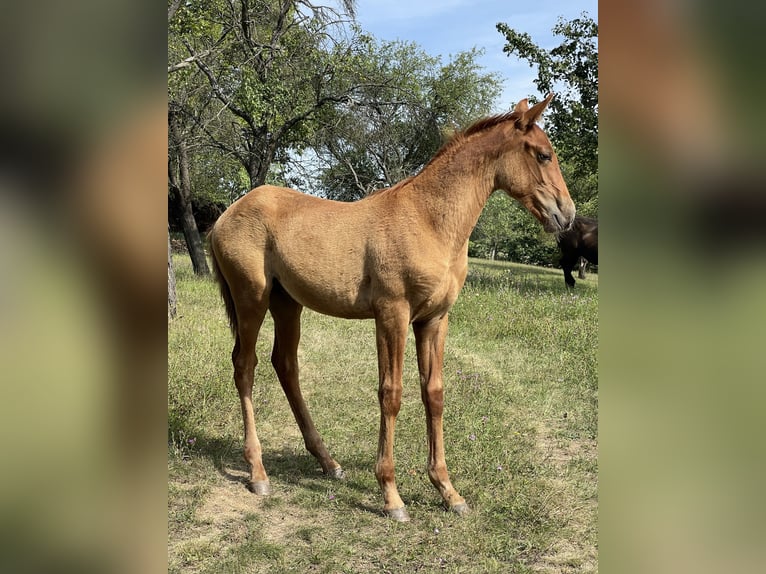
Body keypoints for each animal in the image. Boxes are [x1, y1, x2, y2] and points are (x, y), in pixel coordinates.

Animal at [210, 94, 576, 520]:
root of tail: (225, 215)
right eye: (543, 155)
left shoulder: (434, 319)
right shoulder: (392, 315)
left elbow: (433, 393)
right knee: (244, 366)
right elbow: (392, 393)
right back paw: (257, 471)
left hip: (288, 305)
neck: (428, 220)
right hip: (251, 299)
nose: (566, 215)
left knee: (285, 365)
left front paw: (448, 491)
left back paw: (328, 462)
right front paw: (391, 495)